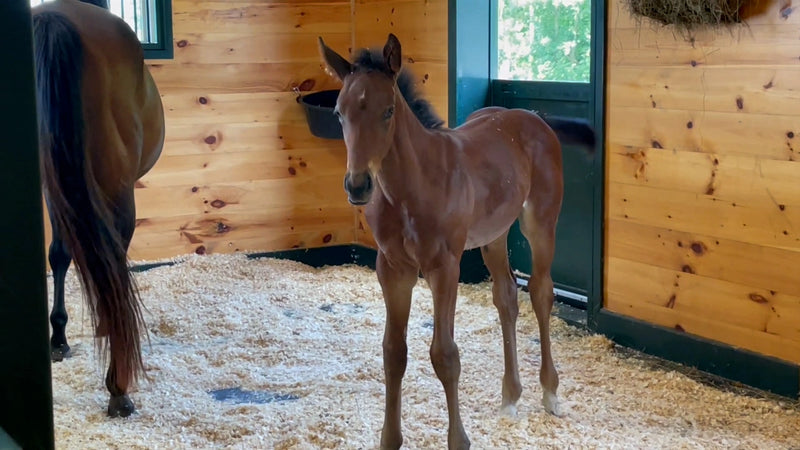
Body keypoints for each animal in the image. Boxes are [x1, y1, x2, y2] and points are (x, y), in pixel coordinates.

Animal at [318, 33, 592, 448]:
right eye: (338, 112)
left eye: (388, 111)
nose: (358, 185)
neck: (410, 188)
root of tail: (533, 117)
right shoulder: (392, 268)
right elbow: (393, 352)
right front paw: (389, 438)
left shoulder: (444, 267)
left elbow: (445, 355)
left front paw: (458, 439)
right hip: (494, 234)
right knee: (506, 297)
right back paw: (511, 396)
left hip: (540, 222)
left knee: (541, 292)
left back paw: (549, 391)